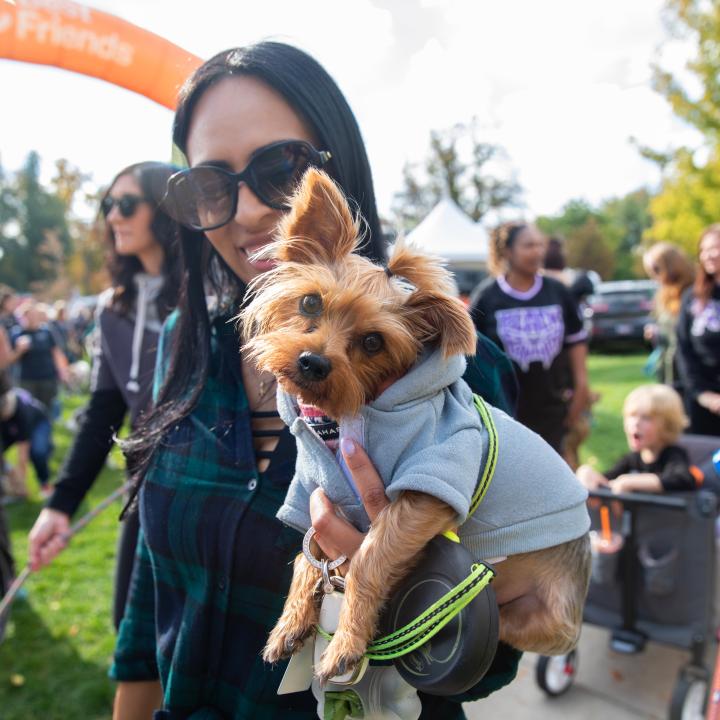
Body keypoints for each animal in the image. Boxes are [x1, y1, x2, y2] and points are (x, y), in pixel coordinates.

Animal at [242, 169, 592, 688]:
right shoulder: (313, 496)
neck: (339, 422)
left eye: (373, 342)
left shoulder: (429, 487)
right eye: (309, 302)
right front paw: (290, 623)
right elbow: (307, 559)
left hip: (543, 621)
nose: (312, 362)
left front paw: (346, 644)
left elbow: (367, 559)